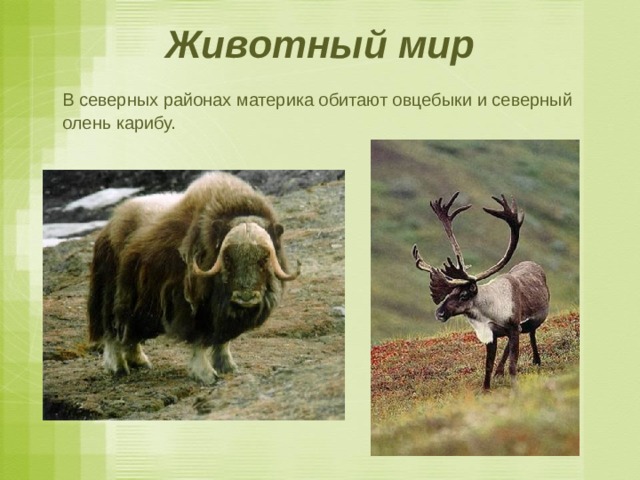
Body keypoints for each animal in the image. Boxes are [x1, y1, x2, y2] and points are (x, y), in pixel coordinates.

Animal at [412, 192, 549, 390]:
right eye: (448, 293)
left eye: (463, 295)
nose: (439, 313)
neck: (489, 312)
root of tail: (534, 264)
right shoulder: (492, 335)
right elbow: (488, 365)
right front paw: (486, 389)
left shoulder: (514, 327)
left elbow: (513, 365)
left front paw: (514, 386)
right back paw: (500, 372)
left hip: (531, 322)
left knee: (531, 334)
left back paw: (537, 361)